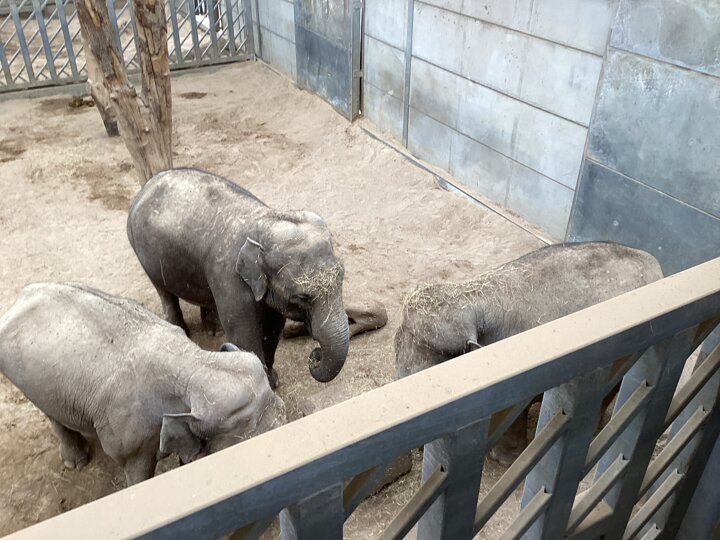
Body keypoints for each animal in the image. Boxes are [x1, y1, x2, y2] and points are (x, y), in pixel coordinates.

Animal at [0, 283, 286, 486]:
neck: (192, 365)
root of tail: (17, 300)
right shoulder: (126, 436)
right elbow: (138, 473)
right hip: (24, 378)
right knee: (51, 415)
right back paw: (77, 463)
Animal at [127, 168, 350, 386]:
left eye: (341, 278)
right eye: (302, 297)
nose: (315, 356)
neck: (266, 221)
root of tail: (144, 189)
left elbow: (273, 328)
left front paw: (274, 379)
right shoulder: (230, 280)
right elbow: (244, 335)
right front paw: (269, 384)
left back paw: (214, 330)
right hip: (142, 253)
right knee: (164, 292)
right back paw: (184, 330)